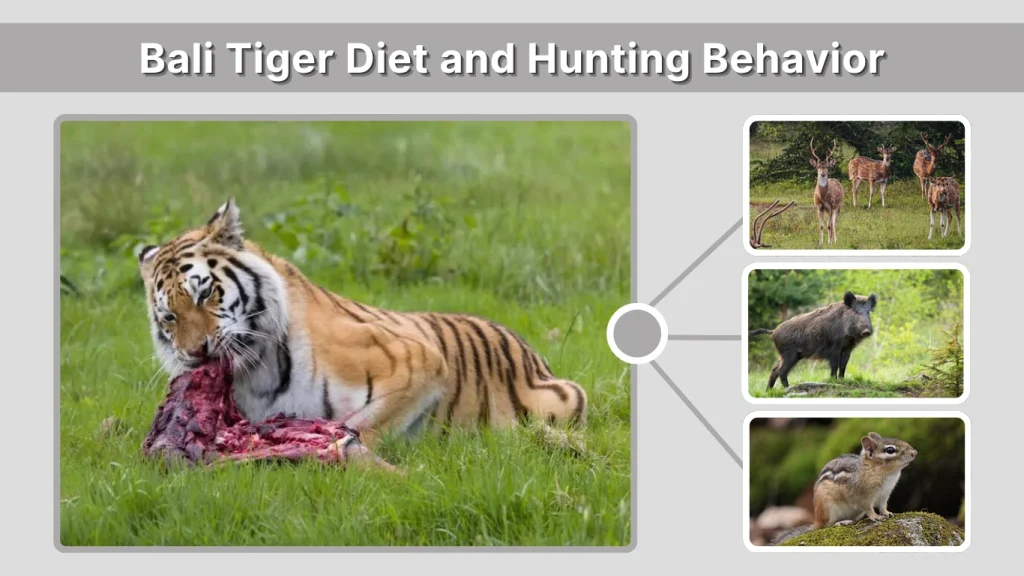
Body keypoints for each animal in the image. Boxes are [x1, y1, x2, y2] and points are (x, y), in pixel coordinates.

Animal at [137, 197, 588, 449]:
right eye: (169, 317)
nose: (196, 353)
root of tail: (533, 352)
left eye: (205, 294)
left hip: (565, 399)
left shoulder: (418, 360)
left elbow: (365, 423)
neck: (256, 374)